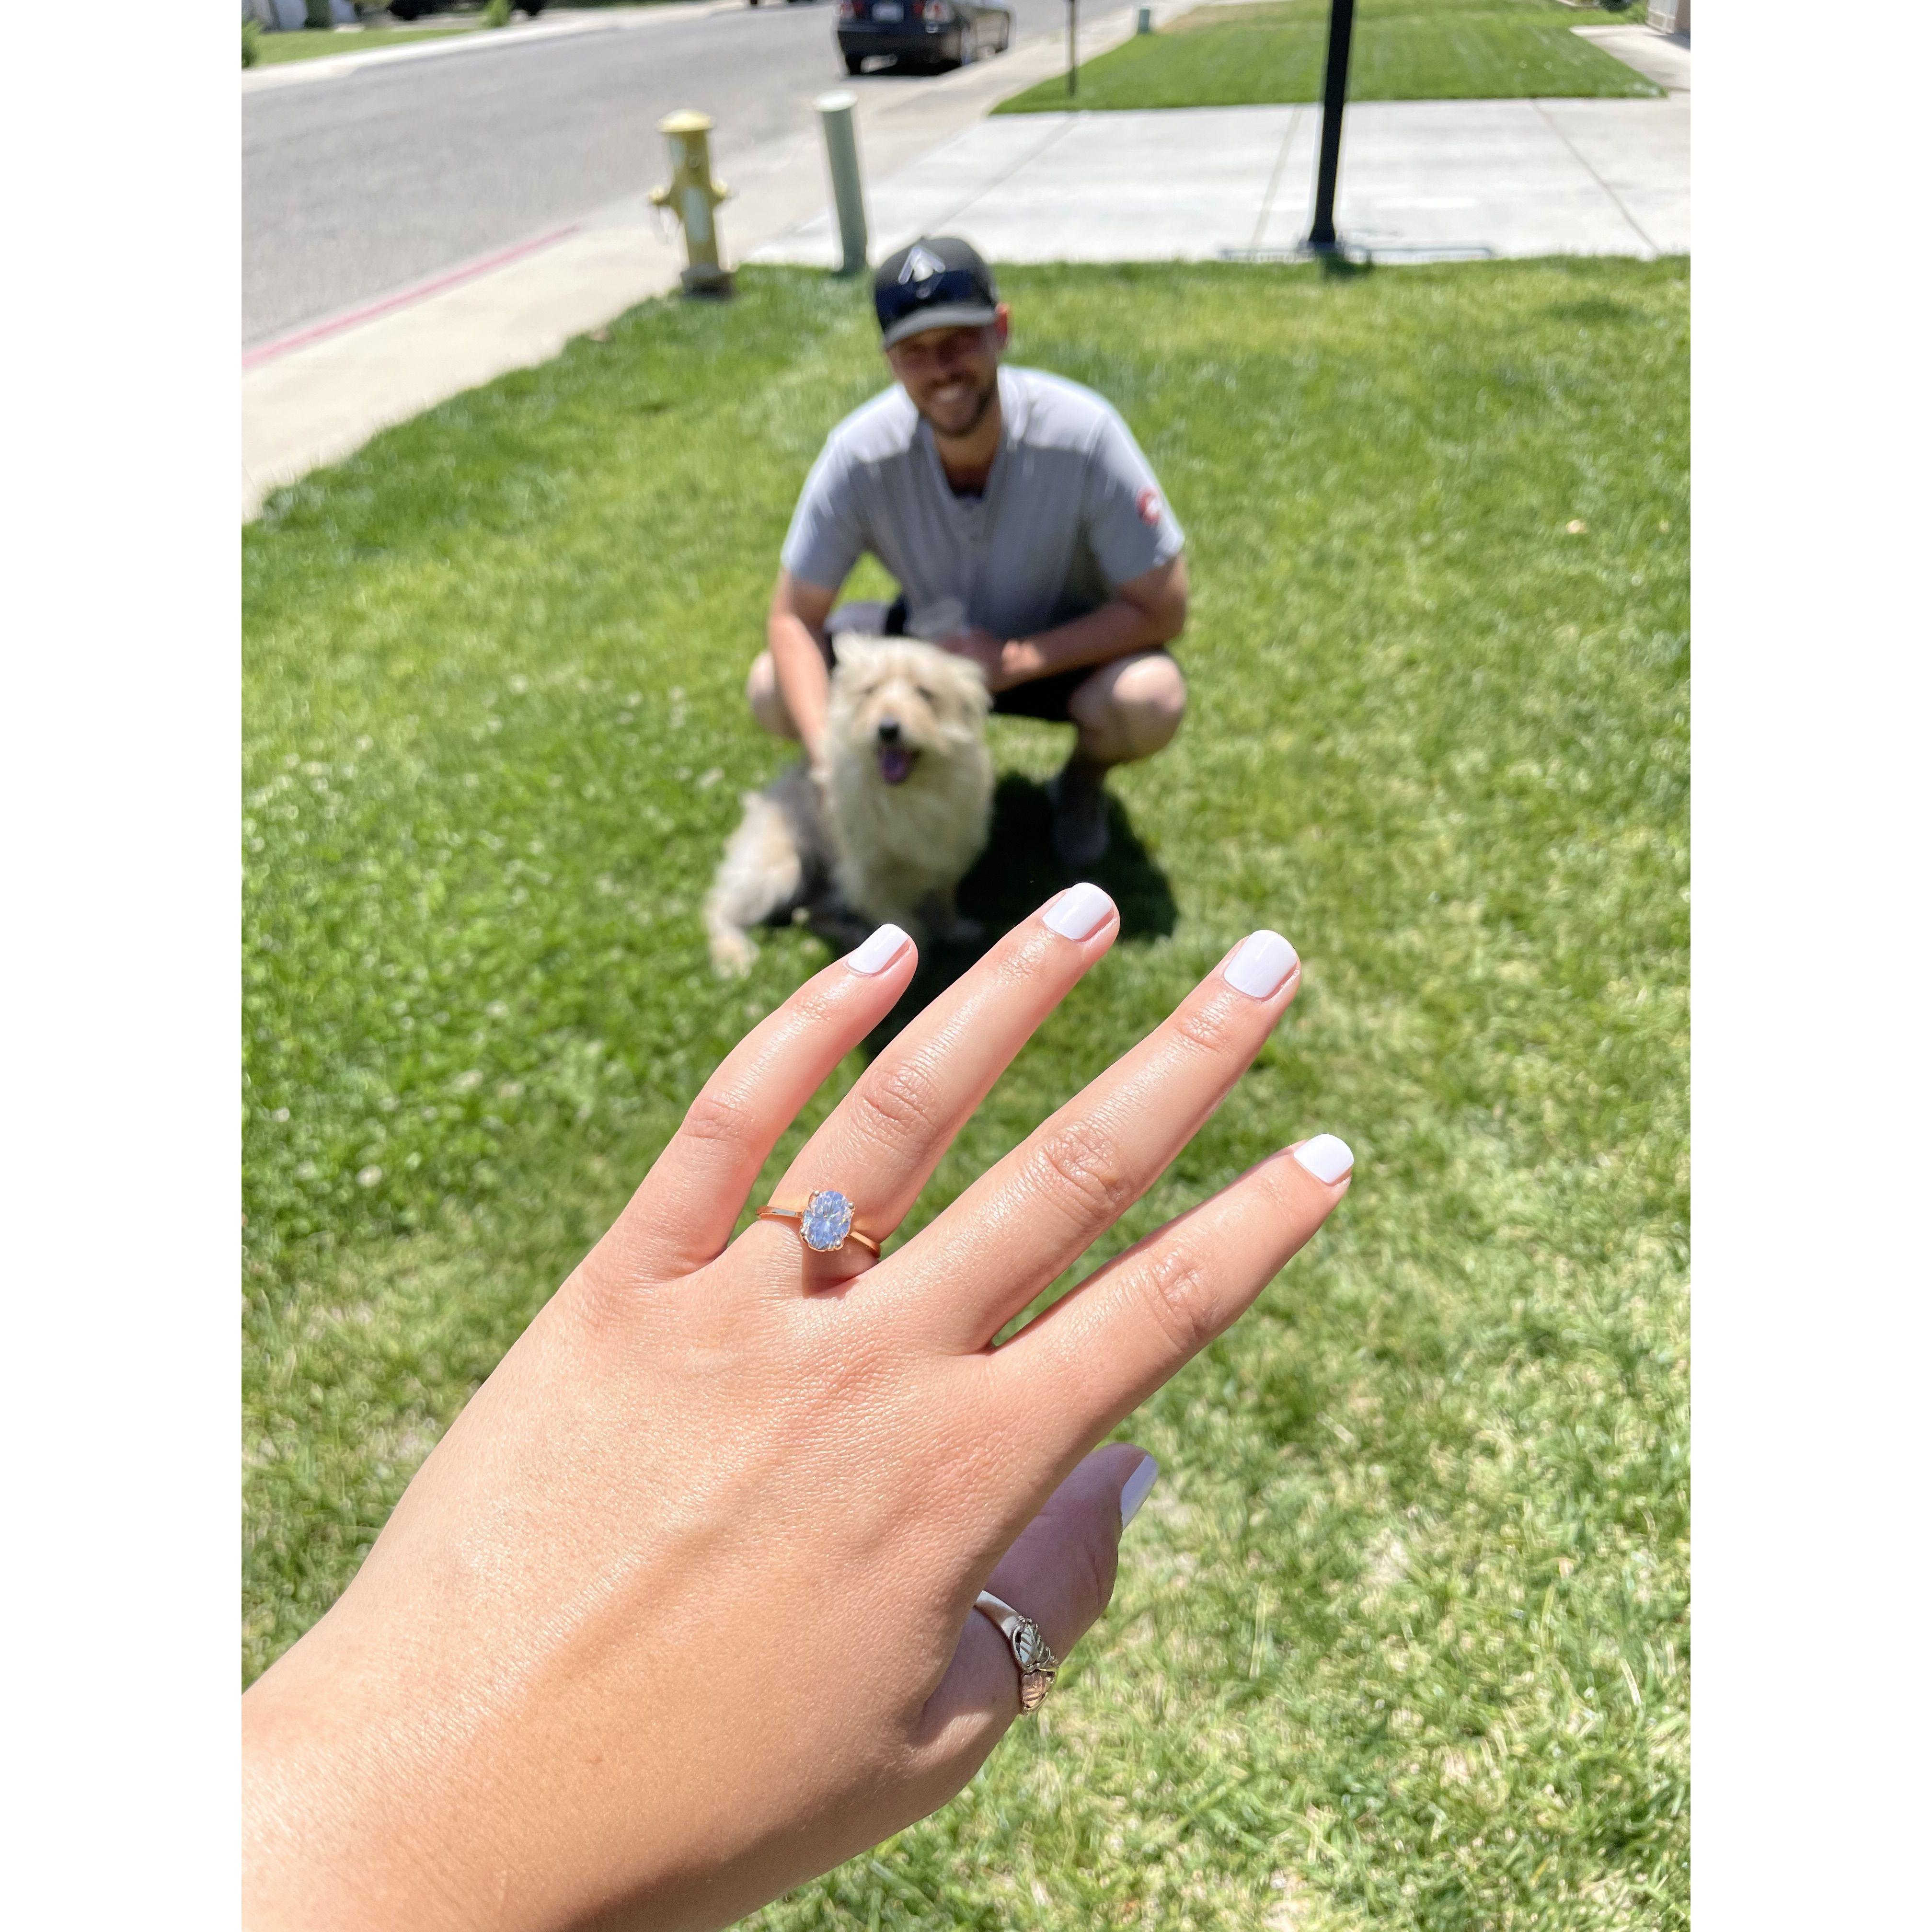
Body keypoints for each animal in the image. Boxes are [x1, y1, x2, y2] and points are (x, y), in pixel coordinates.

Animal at [705, 634, 994, 977]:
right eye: (869, 691)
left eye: (925, 693)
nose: (888, 729)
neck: (907, 795)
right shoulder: (866, 876)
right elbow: (902, 923)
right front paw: (908, 960)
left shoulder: (948, 854)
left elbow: (945, 898)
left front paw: (954, 929)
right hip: (779, 869)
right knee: (718, 906)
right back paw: (732, 951)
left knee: (814, 916)